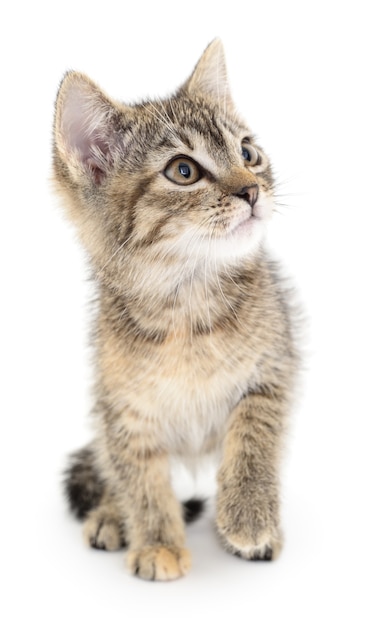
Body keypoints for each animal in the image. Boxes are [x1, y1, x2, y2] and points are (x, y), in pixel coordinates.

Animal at [53, 40, 298, 580]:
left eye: (248, 152)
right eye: (183, 171)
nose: (252, 189)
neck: (185, 305)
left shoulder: (273, 368)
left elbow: (254, 434)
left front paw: (249, 516)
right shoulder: (122, 409)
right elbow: (139, 477)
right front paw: (158, 541)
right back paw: (111, 515)